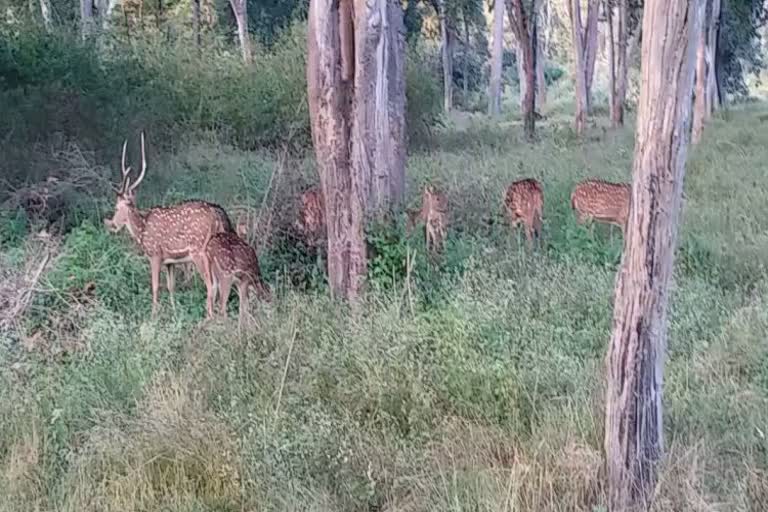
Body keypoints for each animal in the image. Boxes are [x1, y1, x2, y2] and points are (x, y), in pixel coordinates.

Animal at [103, 132, 234, 316]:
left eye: (116, 207)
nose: (112, 225)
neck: (141, 230)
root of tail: (216, 213)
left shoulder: (155, 254)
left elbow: (156, 286)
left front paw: (153, 315)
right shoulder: (170, 261)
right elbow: (171, 287)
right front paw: (174, 312)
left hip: (199, 251)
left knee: (212, 285)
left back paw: (209, 317)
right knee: (221, 283)